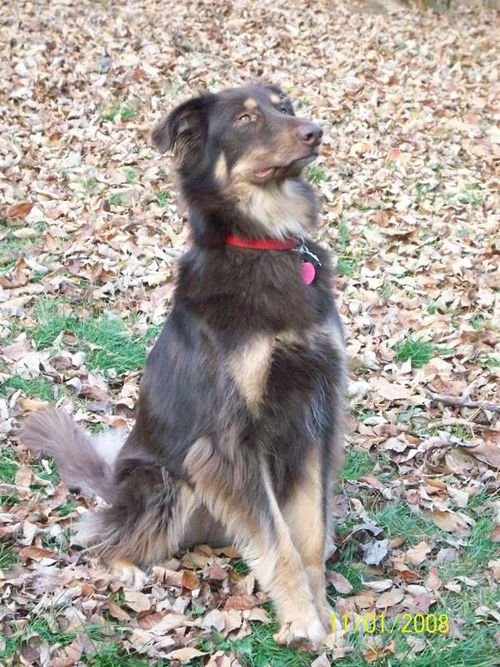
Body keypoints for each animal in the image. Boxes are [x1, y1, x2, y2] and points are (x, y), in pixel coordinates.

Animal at [21, 82, 346, 648]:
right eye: (245, 118)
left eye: (283, 106)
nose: (316, 131)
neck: (264, 242)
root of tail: (112, 483)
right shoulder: (230, 440)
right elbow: (280, 543)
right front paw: (301, 621)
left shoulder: (314, 415)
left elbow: (307, 534)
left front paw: (322, 615)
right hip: (163, 483)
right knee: (100, 538)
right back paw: (123, 566)